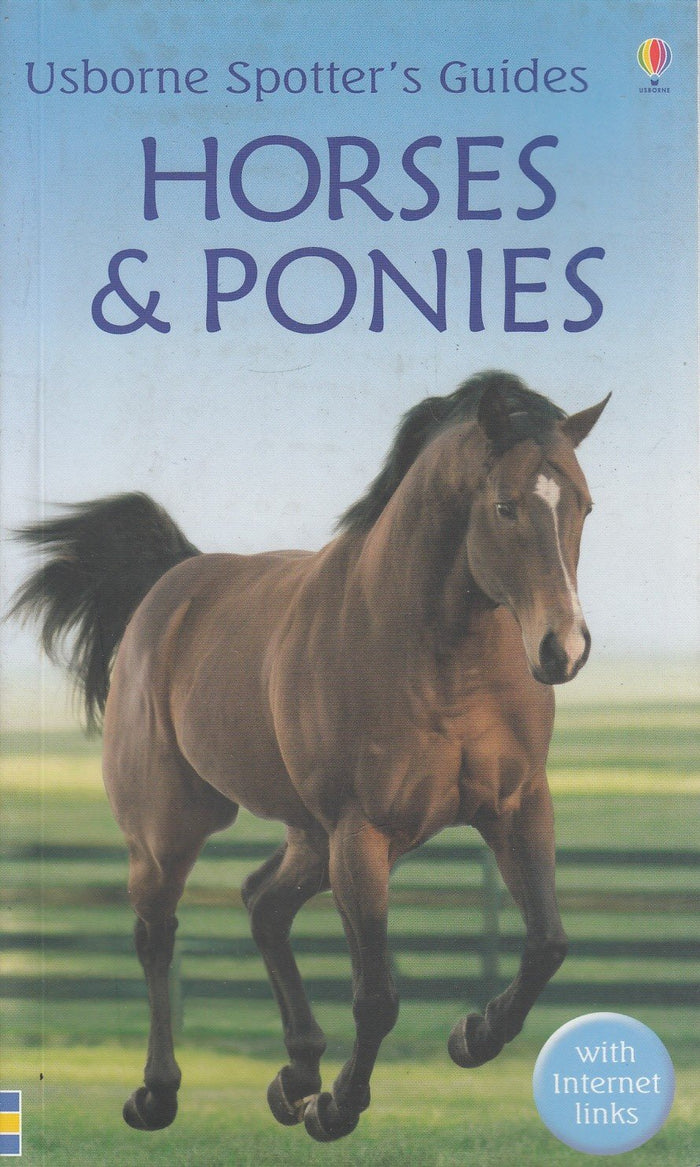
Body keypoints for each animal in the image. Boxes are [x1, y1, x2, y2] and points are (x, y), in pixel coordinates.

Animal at [11, 370, 609, 1142]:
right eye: (505, 506)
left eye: (583, 505)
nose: (563, 649)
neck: (435, 656)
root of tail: (172, 585)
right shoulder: (363, 833)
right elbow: (377, 995)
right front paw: (338, 1107)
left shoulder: (517, 805)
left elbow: (547, 944)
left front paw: (471, 1036)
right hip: (173, 830)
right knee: (157, 934)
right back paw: (160, 1093)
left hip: (309, 836)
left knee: (262, 904)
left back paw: (293, 1075)